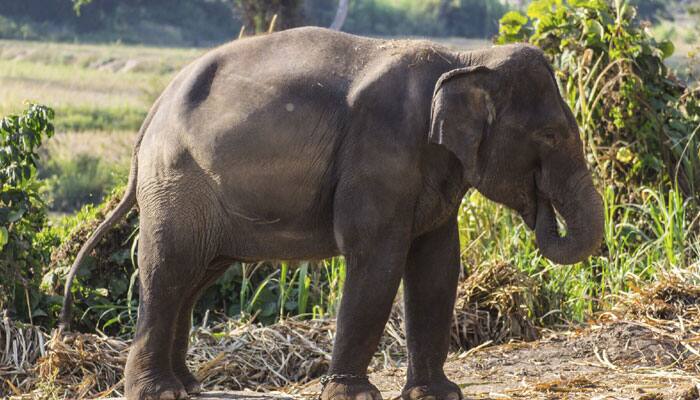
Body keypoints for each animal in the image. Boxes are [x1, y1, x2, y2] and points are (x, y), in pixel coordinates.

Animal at [60, 27, 604, 400]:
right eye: (551, 135)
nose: (539, 210)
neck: (466, 60)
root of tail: (151, 115)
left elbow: (437, 265)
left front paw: (439, 395)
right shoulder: (380, 148)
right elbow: (377, 258)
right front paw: (355, 395)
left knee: (195, 275)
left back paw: (189, 385)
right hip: (177, 181)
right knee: (168, 267)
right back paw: (161, 392)